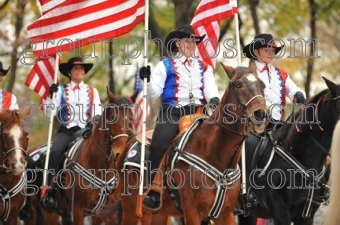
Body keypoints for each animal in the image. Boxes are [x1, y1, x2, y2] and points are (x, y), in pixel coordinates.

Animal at [20, 90, 135, 225]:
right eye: (112, 118)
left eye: (132, 120)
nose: (119, 154)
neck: (98, 165)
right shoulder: (78, 210)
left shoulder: (107, 215)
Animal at [105, 63, 270, 225]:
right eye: (238, 84)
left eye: (262, 85)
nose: (260, 114)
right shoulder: (192, 213)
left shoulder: (226, 214)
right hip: (132, 209)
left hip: (159, 213)